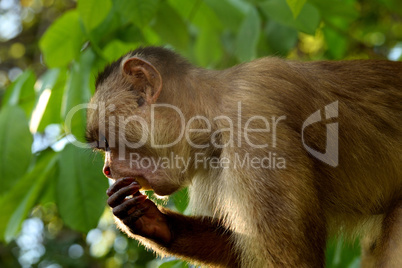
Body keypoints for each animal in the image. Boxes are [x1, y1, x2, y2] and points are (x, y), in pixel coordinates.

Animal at [85, 47, 402, 266]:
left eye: (106, 144)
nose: (107, 170)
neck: (214, 114)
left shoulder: (254, 127)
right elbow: (238, 245)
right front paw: (154, 222)